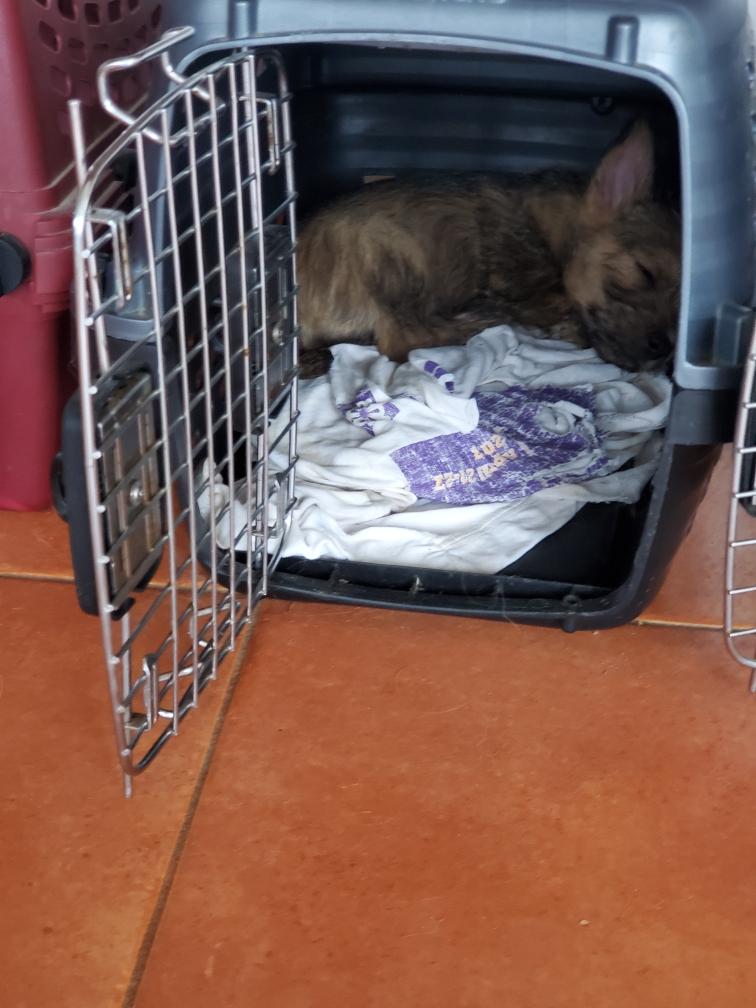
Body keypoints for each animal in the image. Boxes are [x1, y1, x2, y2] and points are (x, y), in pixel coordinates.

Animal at [296, 120, 680, 375]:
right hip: (392, 257)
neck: (554, 232)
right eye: (644, 272)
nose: (666, 348)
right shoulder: (527, 285)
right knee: (401, 342)